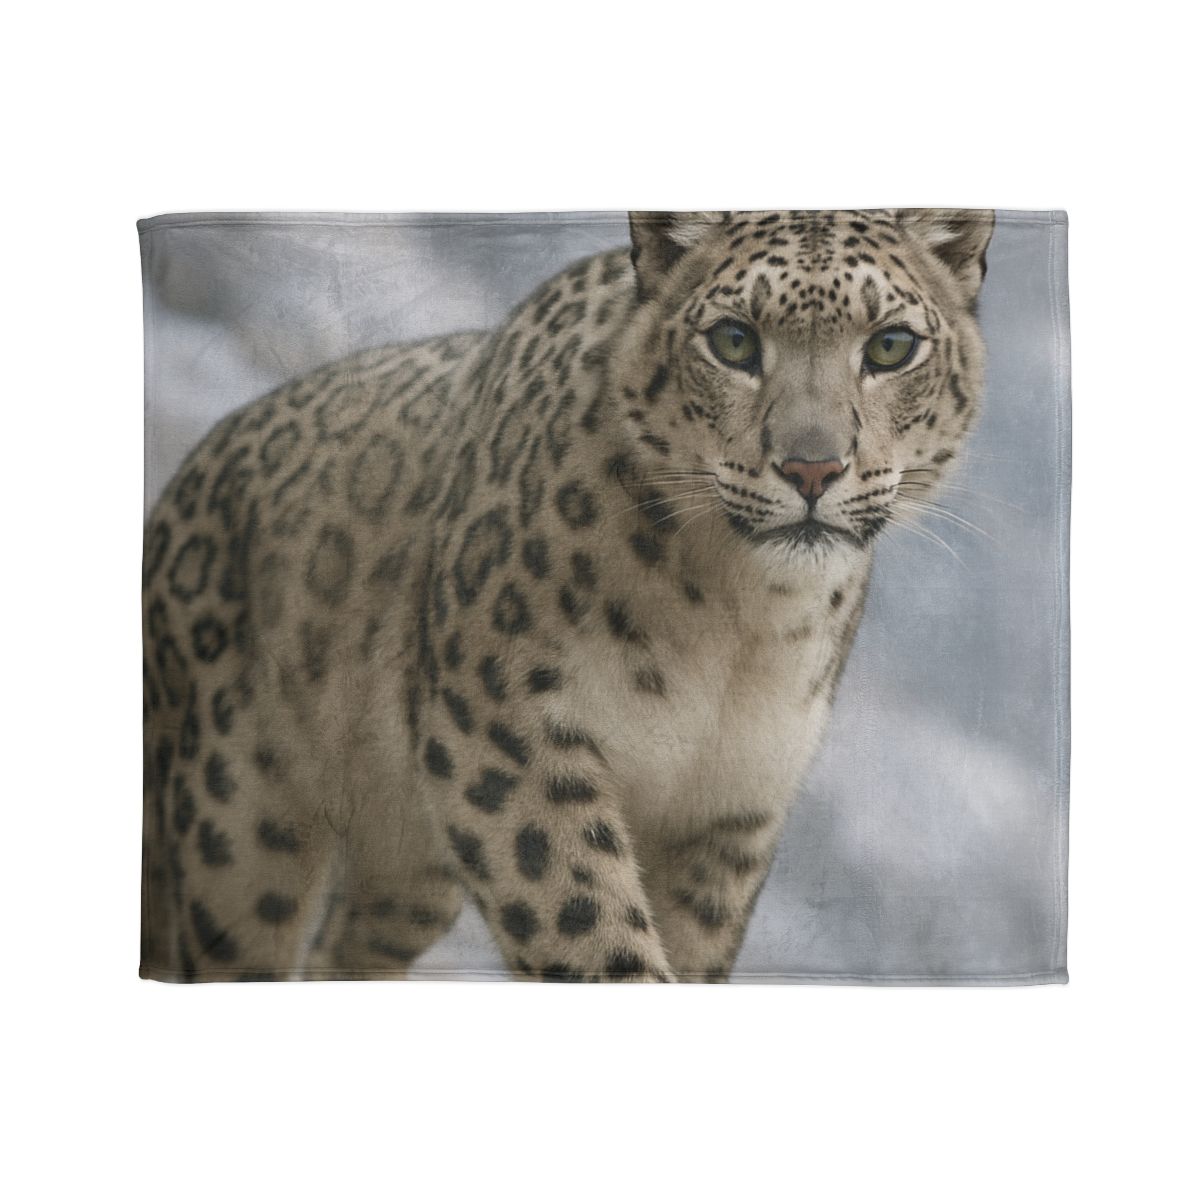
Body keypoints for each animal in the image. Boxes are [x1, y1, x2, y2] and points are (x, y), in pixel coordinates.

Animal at [141, 209, 995, 982]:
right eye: (733, 341)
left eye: (890, 345)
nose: (812, 468)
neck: (741, 617)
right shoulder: (506, 733)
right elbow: (588, 921)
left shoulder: (732, 805)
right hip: (236, 826)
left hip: (405, 871)